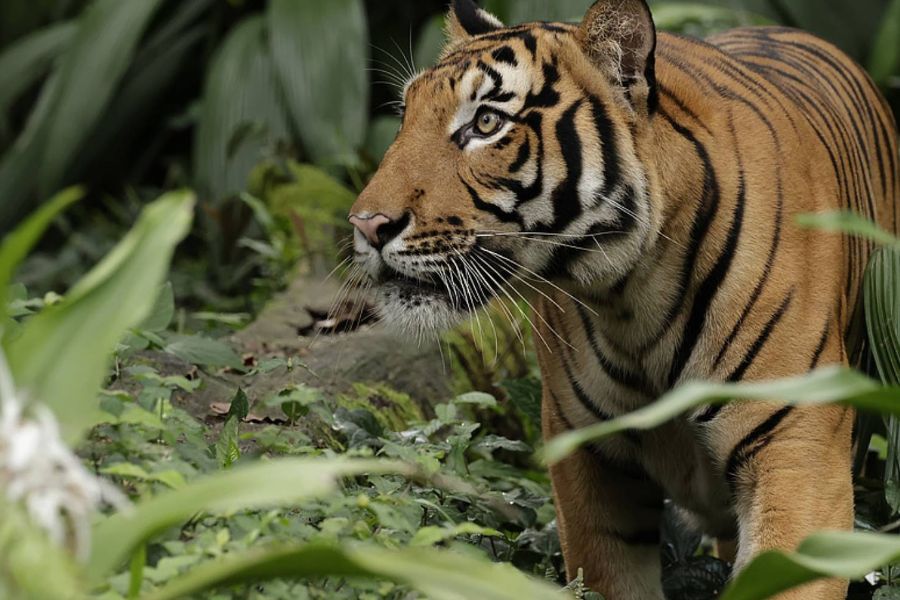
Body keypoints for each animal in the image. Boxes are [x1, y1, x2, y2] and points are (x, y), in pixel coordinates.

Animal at [347, 0, 900, 598]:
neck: (633, 299)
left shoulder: (796, 454)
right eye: (405, 117)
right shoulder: (587, 458)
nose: (366, 225)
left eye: (487, 123)